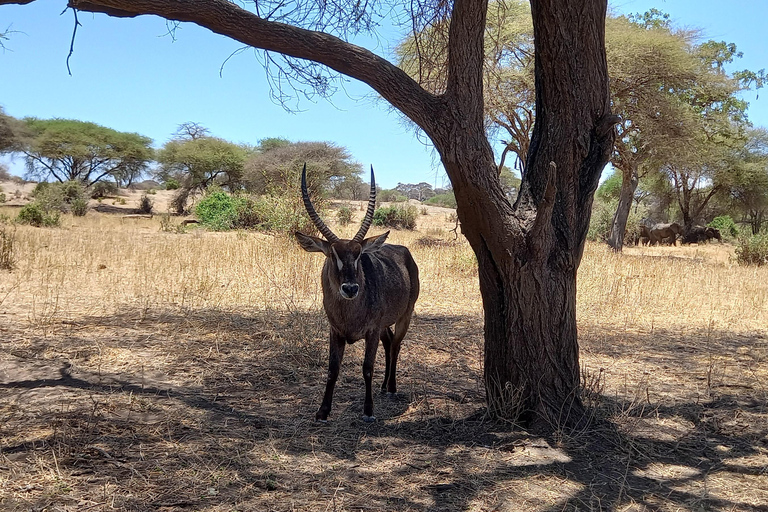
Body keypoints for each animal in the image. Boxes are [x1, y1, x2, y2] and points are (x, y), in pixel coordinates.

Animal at [296, 166, 420, 422]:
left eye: (359, 254)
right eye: (332, 254)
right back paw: (383, 387)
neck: (349, 313)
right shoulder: (335, 331)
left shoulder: (371, 331)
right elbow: (333, 369)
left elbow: (367, 368)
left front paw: (368, 411)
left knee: (396, 344)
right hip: (384, 324)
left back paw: (391, 388)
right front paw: (322, 411)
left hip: (406, 315)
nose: (351, 288)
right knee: (389, 341)